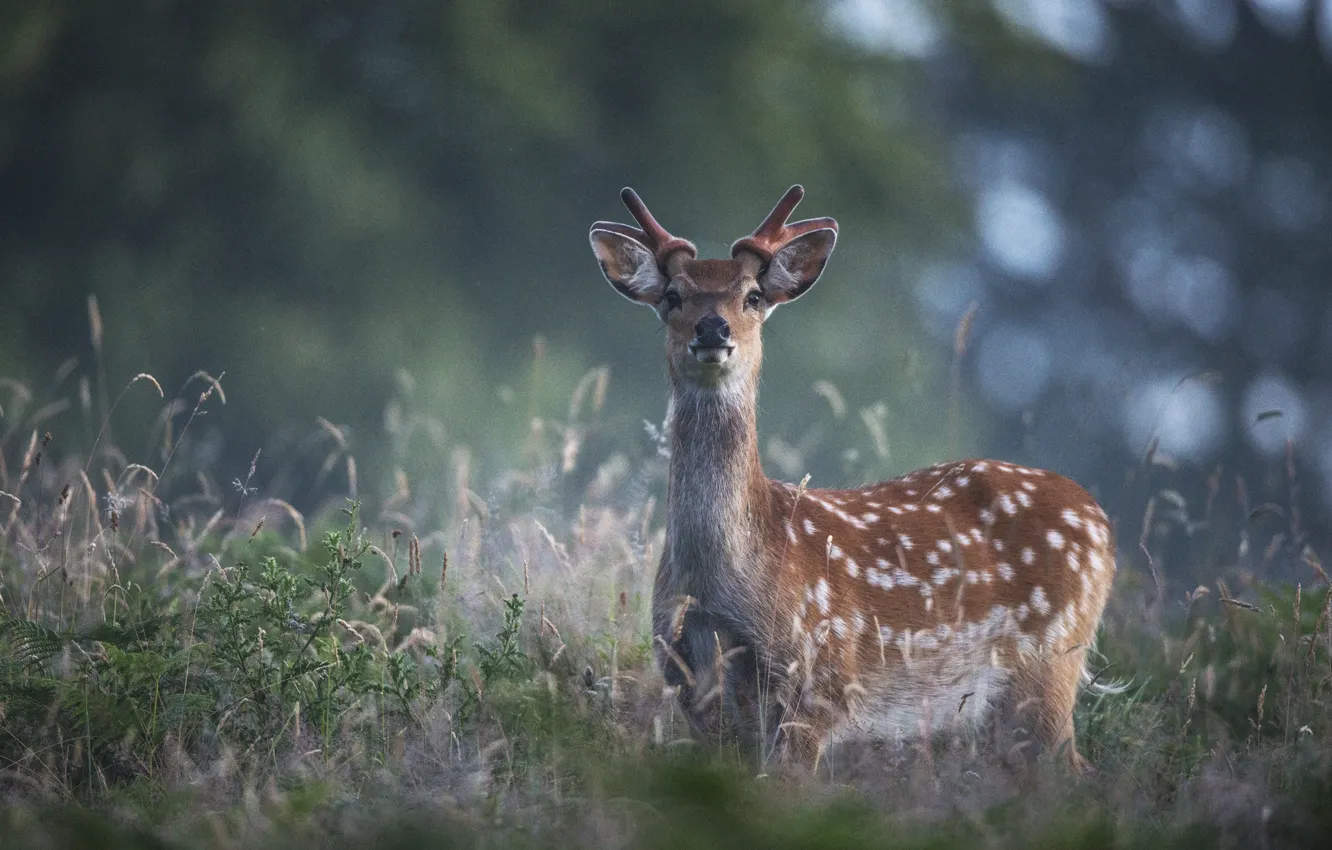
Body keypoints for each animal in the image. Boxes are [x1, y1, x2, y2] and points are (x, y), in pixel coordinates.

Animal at [588, 186, 1118, 778]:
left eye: (752, 296)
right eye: (673, 296)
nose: (712, 329)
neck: (720, 581)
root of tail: (1097, 516)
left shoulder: (818, 681)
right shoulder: (691, 685)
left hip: (1052, 657)